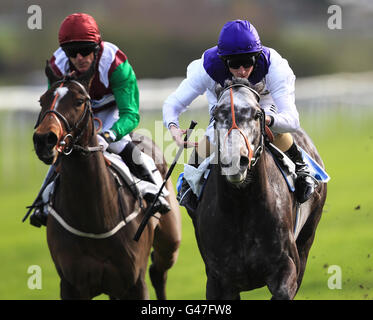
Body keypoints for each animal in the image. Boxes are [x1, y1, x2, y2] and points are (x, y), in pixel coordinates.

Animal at [32, 63, 181, 298]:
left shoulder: (135, 283)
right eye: (42, 100)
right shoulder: (71, 285)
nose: (44, 140)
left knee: (159, 271)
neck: (95, 219)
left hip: (170, 240)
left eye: (79, 101)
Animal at [189, 78, 326, 300]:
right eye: (216, 115)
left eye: (256, 114)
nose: (234, 161)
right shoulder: (218, 280)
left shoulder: (286, 268)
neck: (241, 208)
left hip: (308, 237)